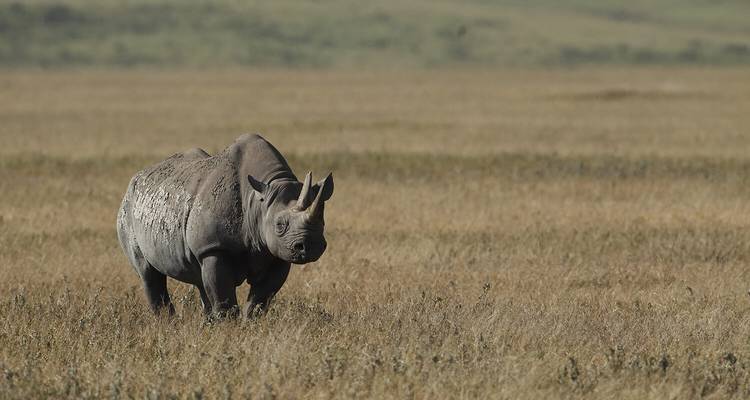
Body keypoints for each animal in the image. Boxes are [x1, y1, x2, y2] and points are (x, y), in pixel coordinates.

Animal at [116, 134, 333, 318]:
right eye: (280, 225)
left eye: (323, 220)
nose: (310, 246)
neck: (258, 203)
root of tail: (135, 179)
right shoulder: (213, 247)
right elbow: (224, 298)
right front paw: (229, 328)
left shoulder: (277, 252)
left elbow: (260, 299)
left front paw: (249, 324)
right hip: (129, 210)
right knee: (148, 274)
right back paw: (167, 324)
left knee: (199, 280)